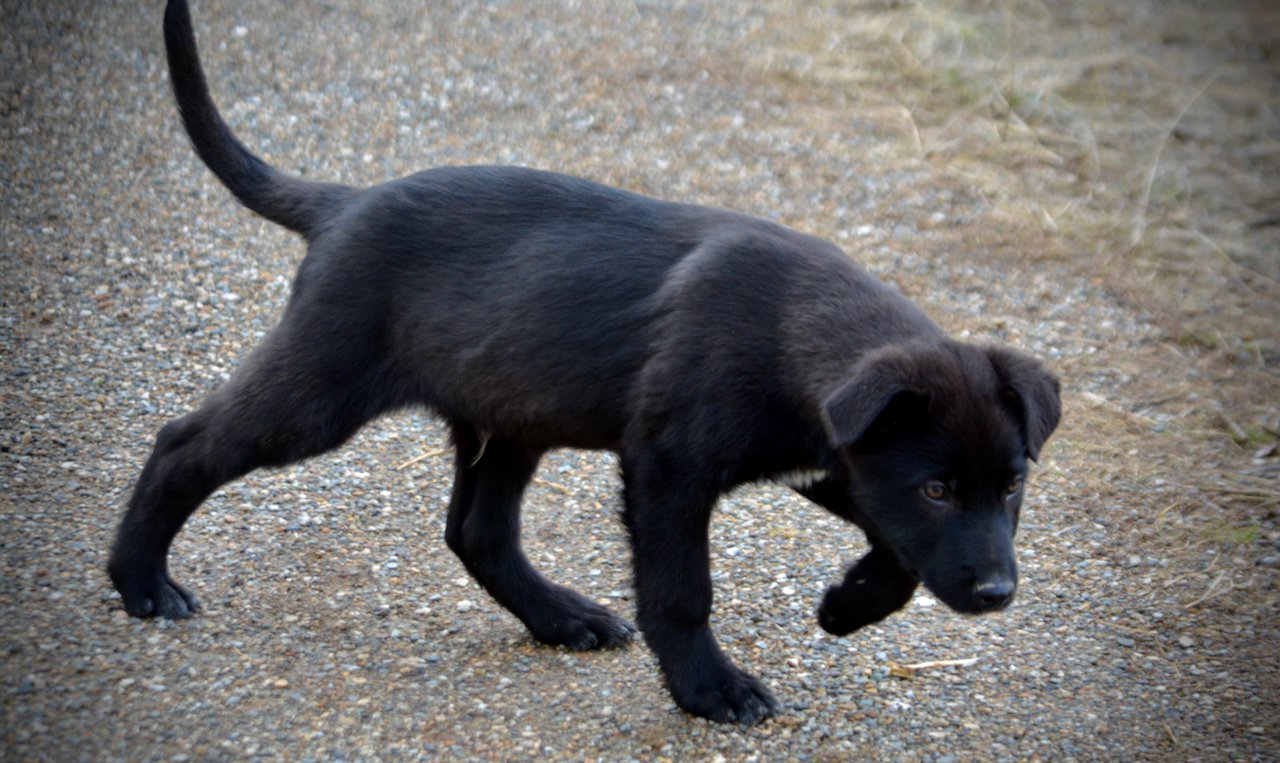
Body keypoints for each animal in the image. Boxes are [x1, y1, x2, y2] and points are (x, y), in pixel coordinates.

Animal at [112, 1, 1059, 727]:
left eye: (1012, 485)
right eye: (937, 486)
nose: (997, 593)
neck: (797, 325)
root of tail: (343, 204)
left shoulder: (838, 464)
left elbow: (898, 552)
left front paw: (846, 603)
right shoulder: (668, 466)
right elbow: (682, 590)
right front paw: (710, 688)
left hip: (509, 415)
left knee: (477, 530)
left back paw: (560, 617)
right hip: (322, 388)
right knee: (185, 442)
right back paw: (141, 581)